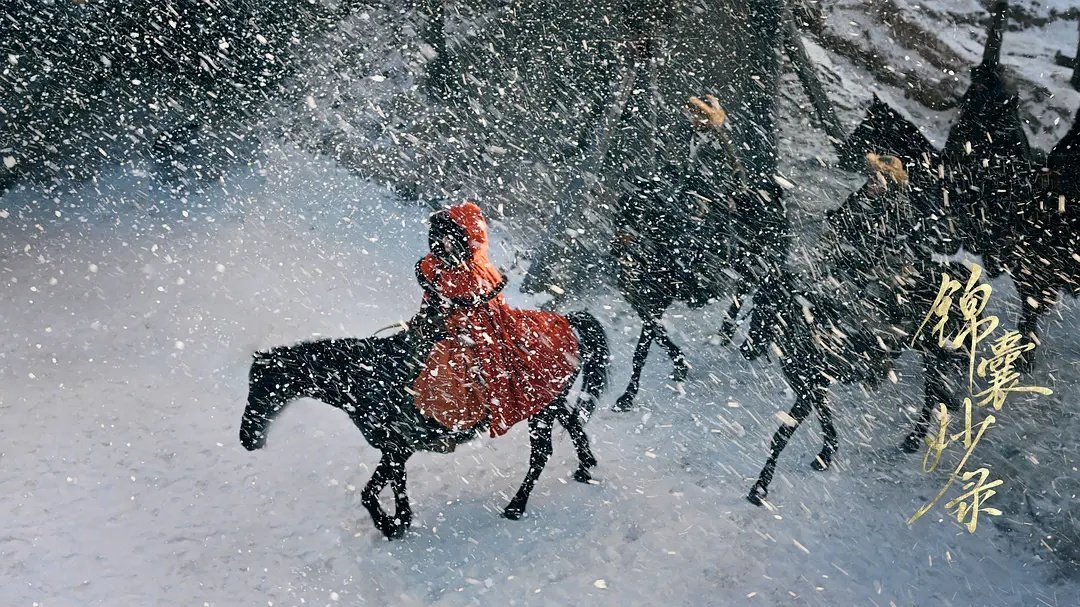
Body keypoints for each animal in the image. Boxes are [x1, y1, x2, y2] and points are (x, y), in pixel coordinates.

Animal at [238, 308, 609, 535]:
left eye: (262, 386)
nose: (247, 438)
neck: (371, 378)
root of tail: (567, 321)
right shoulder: (396, 451)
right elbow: (388, 488)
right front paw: (399, 522)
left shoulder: (395, 448)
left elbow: (371, 493)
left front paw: (392, 526)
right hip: (548, 403)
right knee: (573, 422)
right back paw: (585, 467)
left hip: (540, 413)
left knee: (541, 453)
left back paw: (516, 507)